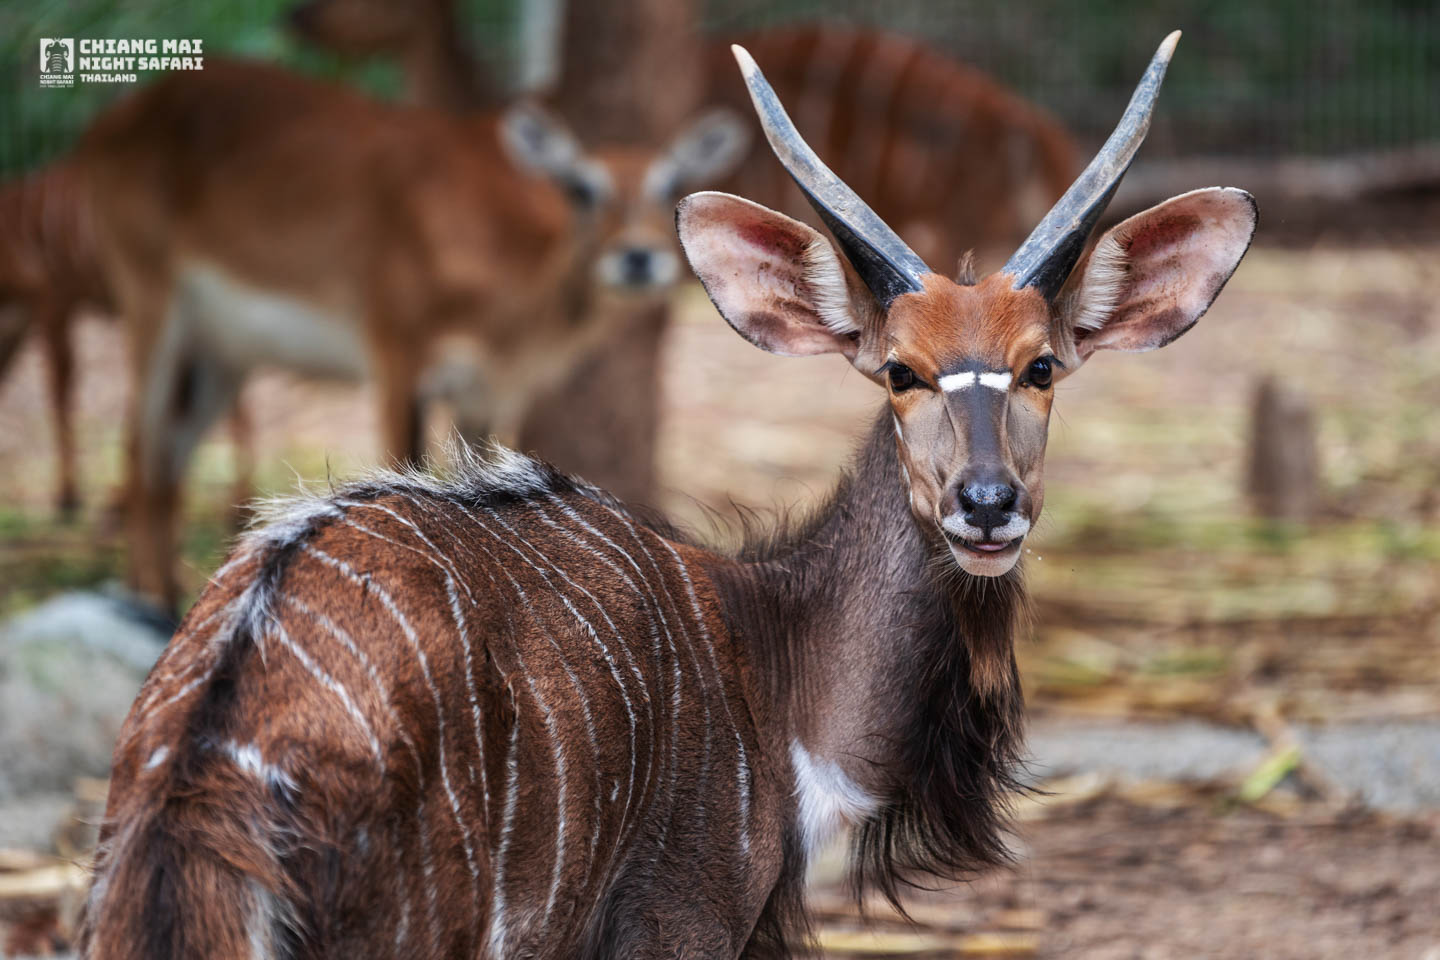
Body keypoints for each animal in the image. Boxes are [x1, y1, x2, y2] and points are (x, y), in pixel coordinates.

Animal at [81, 33, 1249, 955]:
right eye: (900, 370)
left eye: (1041, 366)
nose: (988, 502)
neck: (778, 663)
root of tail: (204, 785)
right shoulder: (680, 918)